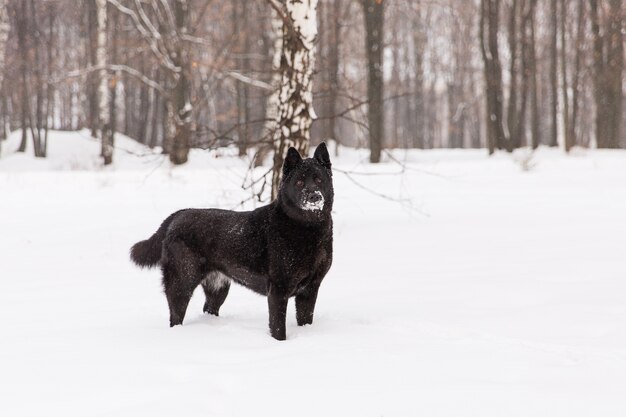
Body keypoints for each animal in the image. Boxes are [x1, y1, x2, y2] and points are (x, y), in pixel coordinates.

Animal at [130, 142, 334, 338]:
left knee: (208, 309)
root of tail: (178, 215)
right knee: (175, 316)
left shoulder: (310, 290)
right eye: (299, 182)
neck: (307, 229)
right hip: (182, 282)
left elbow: (306, 319)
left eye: (319, 180)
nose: (314, 196)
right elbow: (278, 329)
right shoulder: (278, 290)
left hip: (218, 288)